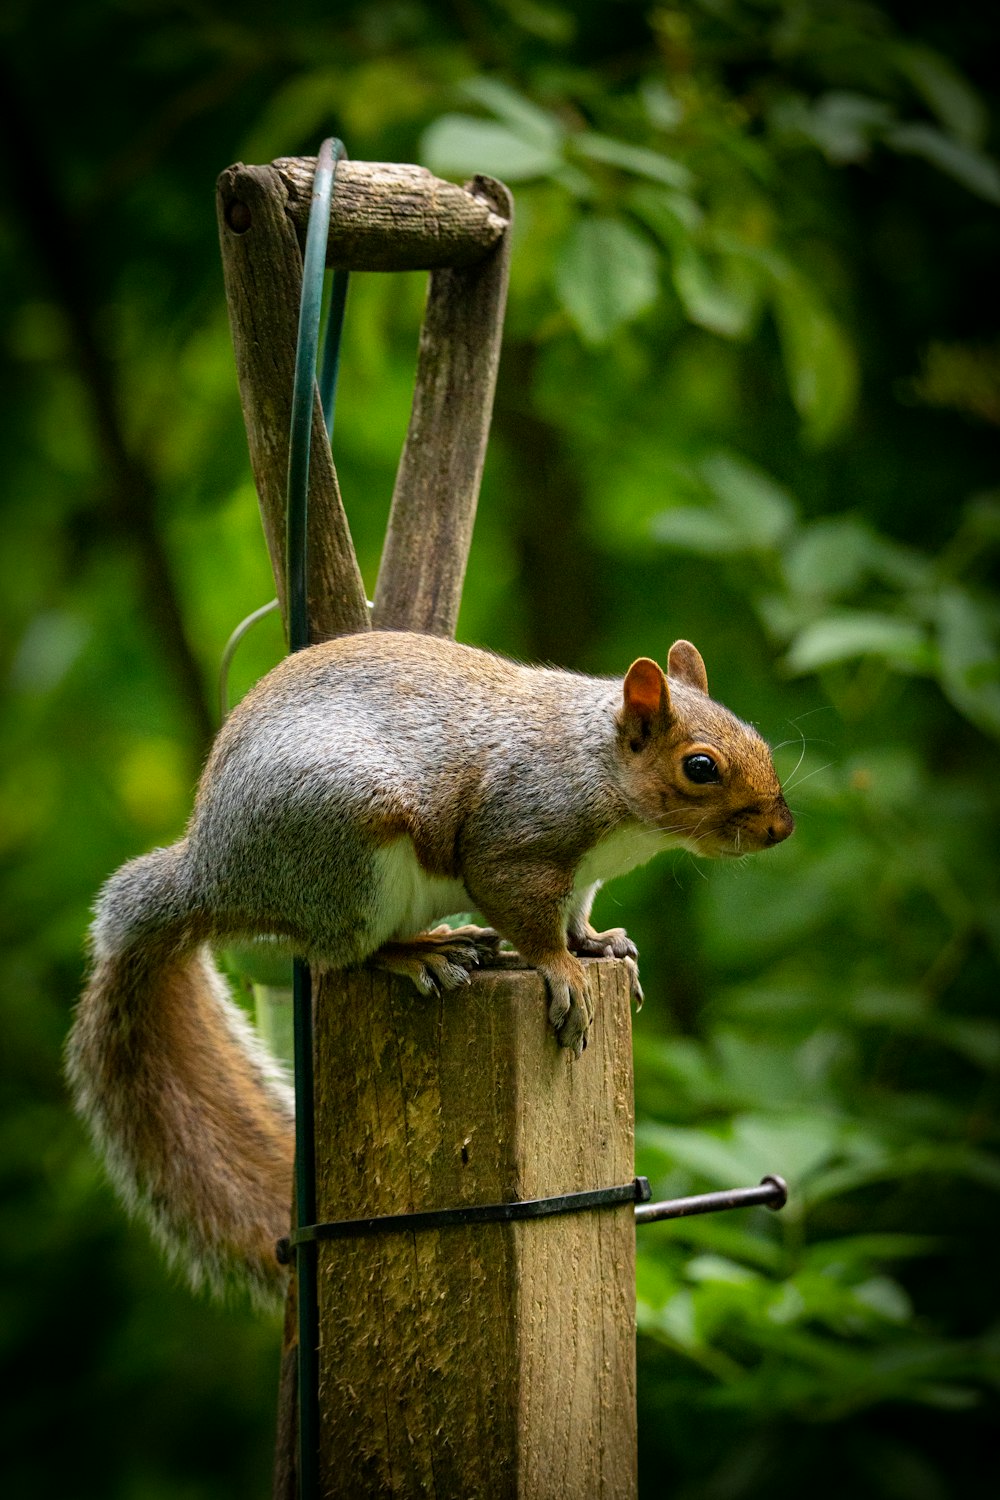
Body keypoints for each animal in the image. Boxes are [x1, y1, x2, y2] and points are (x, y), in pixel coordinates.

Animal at [66, 621, 791, 1302]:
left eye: (757, 736)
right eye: (701, 767)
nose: (780, 829)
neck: (600, 766)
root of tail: (211, 878)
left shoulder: (582, 879)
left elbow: (576, 917)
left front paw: (601, 945)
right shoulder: (515, 843)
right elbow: (528, 919)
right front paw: (562, 973)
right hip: (349, 849)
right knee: (341, 954)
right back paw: (420, 952)